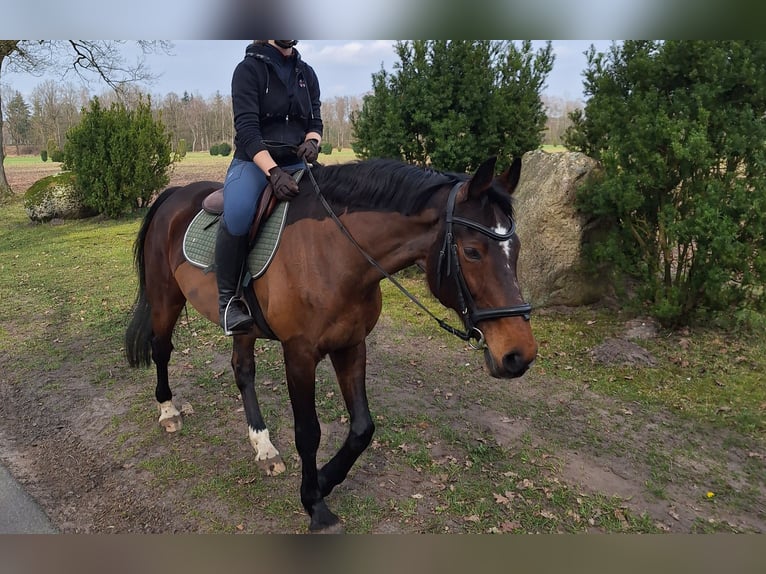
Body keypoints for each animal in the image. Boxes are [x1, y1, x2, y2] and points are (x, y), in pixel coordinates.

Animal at [124, 155, 540, 532]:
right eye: (472, 251)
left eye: (517, 249)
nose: (519, 355)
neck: (336, 253)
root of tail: (175, 194)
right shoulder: (299, 354)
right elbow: (308, 432)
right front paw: (315, 504)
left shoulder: (351, 345)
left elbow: (362, 428)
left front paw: (323, 481)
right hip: (165, 299)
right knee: (163, 350)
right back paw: (168, 412)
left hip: (242, 328)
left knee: (243, 371)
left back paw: (263, 447)